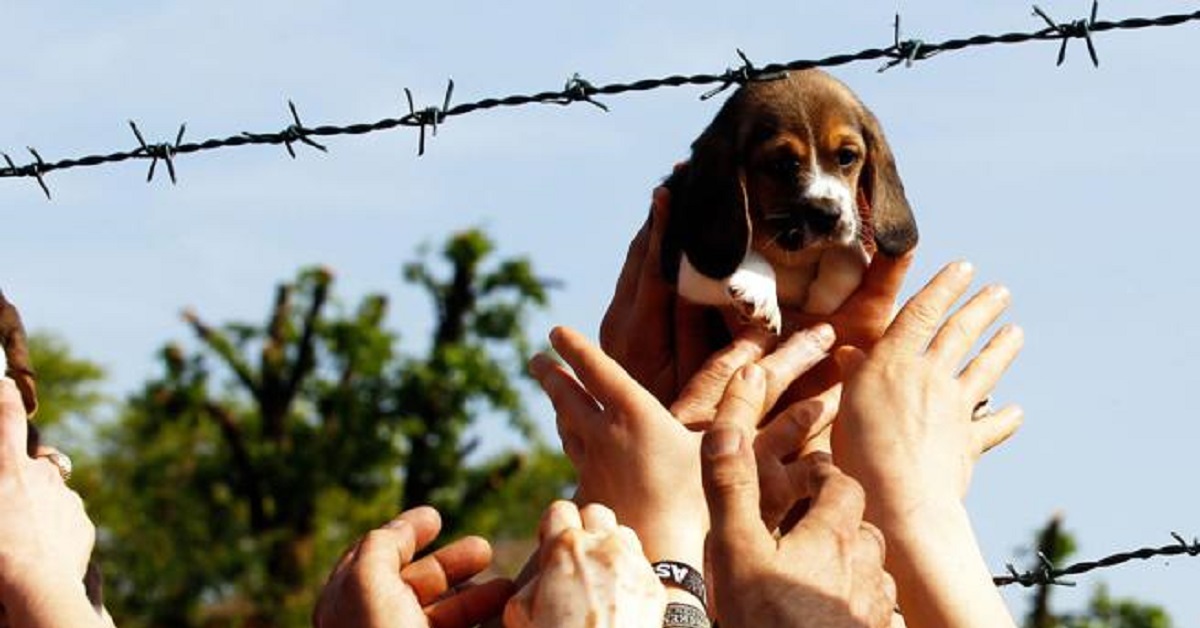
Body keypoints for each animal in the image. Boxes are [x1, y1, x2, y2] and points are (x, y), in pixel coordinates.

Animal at [662, 69, 912, 333]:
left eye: (846, 156)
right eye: (781, 164)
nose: (827, 215)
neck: (793, 255)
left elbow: (847, 260)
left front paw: (822, 298)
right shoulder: (679, 261)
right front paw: (757, 287)